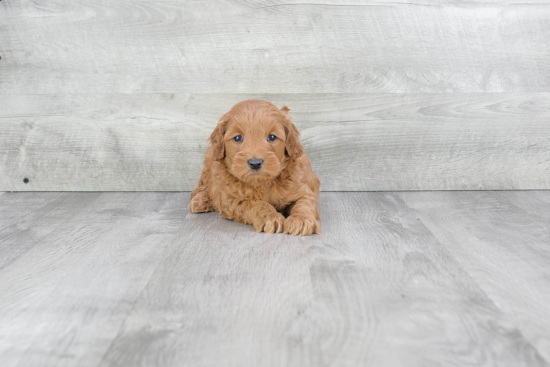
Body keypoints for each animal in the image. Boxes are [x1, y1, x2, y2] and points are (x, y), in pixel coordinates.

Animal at [190, 98, 322, 236]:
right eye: (238, 138)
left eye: (272, 137)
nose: (255, 163)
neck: (264, 183)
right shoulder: (233, 200)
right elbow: (255, 204)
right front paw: (271, 217)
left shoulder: (302, 188)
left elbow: (304, 203)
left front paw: (301, 220)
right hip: (209, 163)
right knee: (202, 188)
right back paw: (200, 200)